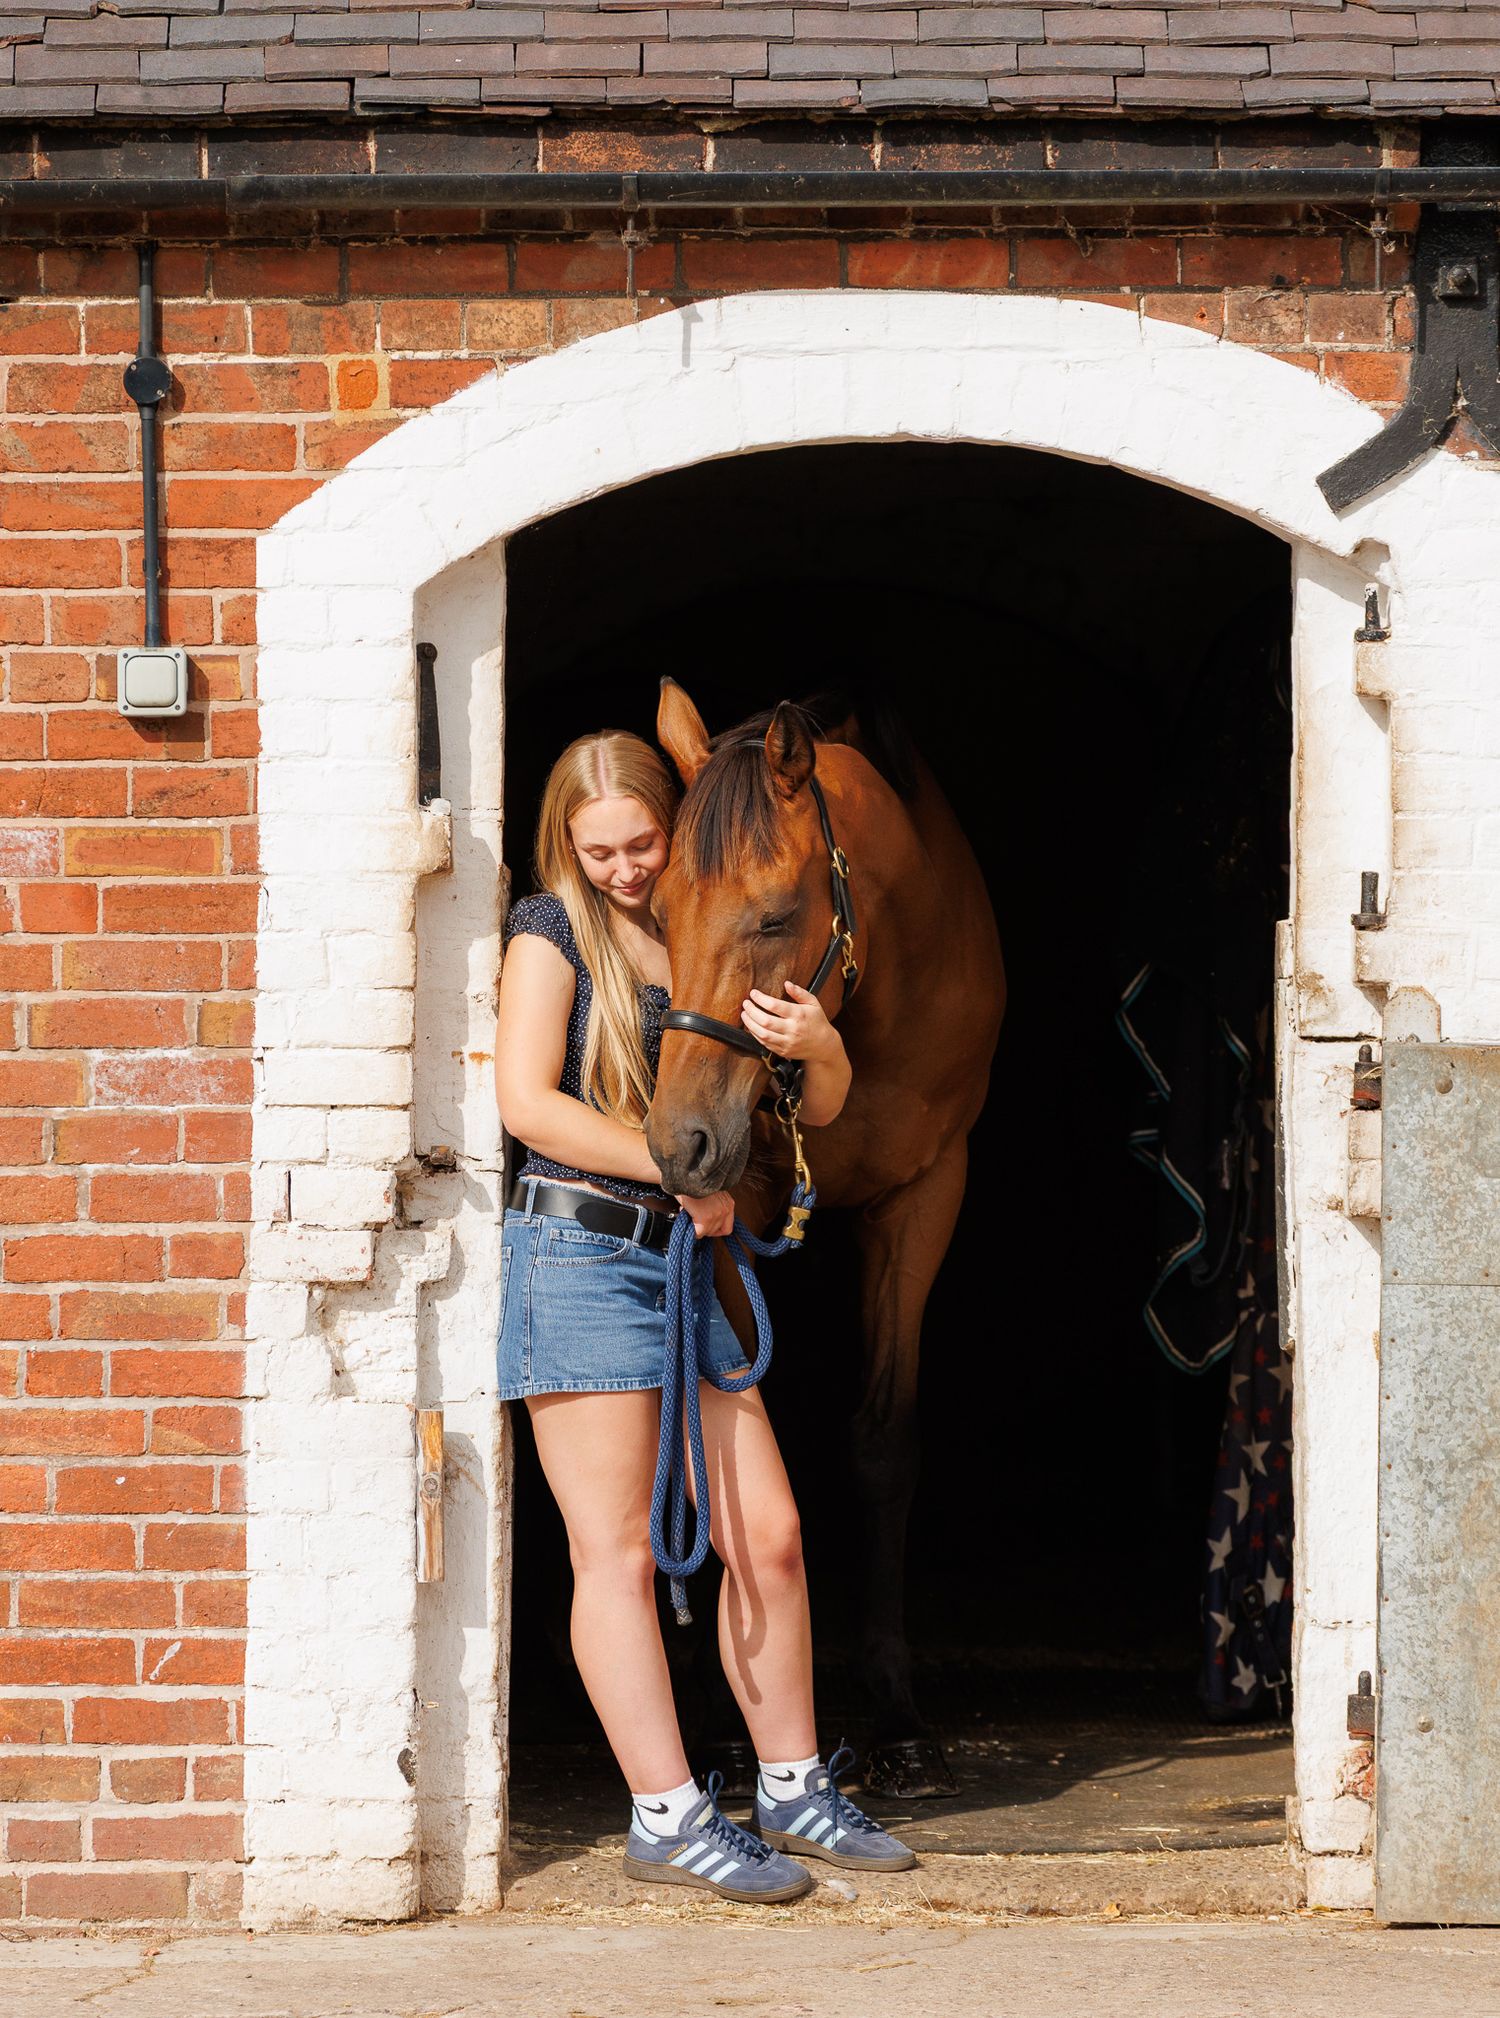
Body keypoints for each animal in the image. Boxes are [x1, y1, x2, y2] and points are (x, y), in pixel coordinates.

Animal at [646, 679, 1005, 1796]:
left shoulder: (926, 1196)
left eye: (774, 915)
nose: (678, 1144)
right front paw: (724, 1717)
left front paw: (897, 1717)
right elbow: (716, 1446)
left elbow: (884, 1442)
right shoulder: (739, 1207)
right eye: (657, 911)